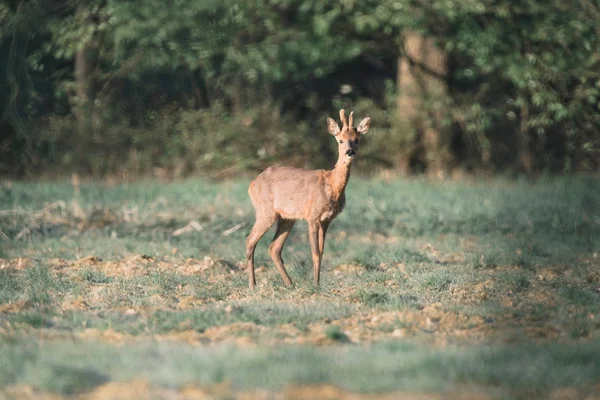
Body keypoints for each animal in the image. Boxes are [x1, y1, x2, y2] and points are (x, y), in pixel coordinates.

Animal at [244, 109, 370, 290]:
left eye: (356, 140)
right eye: (340, 140)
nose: (349, 152)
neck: (331, 184)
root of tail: (252, 184)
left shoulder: (326, 220)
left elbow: (322, 252)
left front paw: (317, 283)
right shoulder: (313, 216)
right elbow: (315, 252)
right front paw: (316, 285)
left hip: (287, 218)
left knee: (273, 247)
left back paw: (290, 284)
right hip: (265, 211)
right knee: (250, 240)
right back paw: (253, 285)